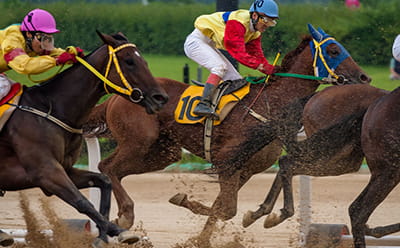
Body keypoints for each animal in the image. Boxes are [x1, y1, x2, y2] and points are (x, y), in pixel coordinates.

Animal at [0, 31, 167, 248]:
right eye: (129, 61)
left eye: (144, 61)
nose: (160, 98)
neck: (51, 109)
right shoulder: (45, 172)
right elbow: (83, 202)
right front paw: (113, 231)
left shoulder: (65, 168)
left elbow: (104, 181)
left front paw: (108, 234)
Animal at [83, 25, 370, 244]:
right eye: (333, 50)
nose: (364, 77)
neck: (269, 104)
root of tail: (116, 96)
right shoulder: (227, 161)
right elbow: (227, 208)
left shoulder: (244, 169)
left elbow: (223, 207)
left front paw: (200, 235)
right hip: (138, 142)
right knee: (107, 166)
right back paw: (125, 215)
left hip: (164, 153)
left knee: (118, 171)